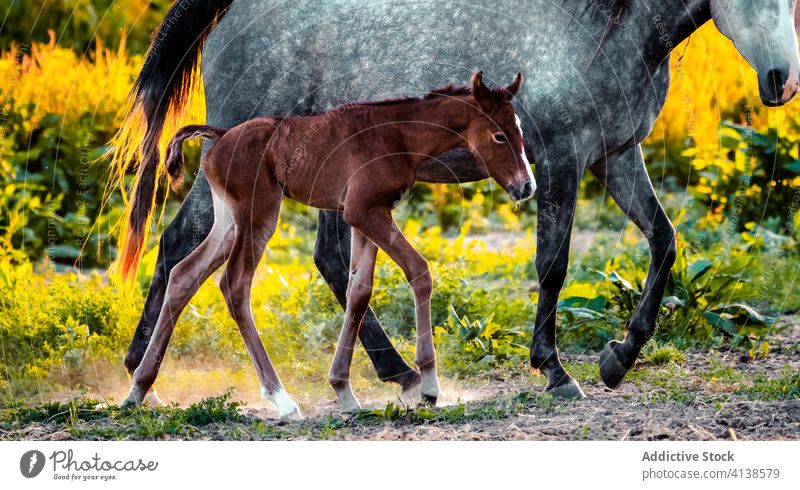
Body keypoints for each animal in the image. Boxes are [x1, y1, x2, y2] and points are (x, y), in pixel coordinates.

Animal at [122, 72, 536, 418]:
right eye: (499, 136)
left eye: (518, 129)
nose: (526, 186)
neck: (399, 135)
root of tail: (220, 135)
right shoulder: (364, 211)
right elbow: (418, 270)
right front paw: (429, 386)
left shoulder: (367, 215)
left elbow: (359, 291)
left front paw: (344, 391)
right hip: (258, 216)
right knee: (234, 285)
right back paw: (281, 399)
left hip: (228, 221)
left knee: (184, 275)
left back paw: (138, 389)